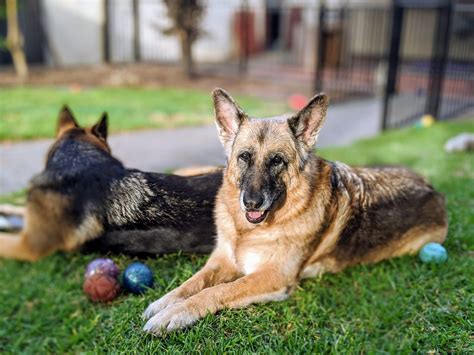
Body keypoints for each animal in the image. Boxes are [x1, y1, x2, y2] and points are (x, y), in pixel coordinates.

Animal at [143, 89, 446, 336]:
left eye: (277, 160)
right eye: (244, 157)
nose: (251, 203)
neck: (248, 232)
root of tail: (434, 189)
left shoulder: (272, 277)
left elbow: (217, 290)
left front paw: (175, 314)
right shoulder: (221, 260)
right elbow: (192, 283)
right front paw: (163, 303)